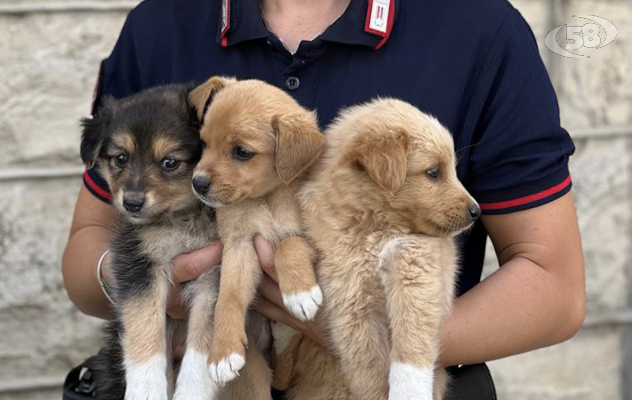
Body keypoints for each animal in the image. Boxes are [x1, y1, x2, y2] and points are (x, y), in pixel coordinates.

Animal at [80, 85, 270, 400]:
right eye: (120, 158)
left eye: (169, 162)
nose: (131, 203)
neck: (182, 217)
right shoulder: (138, 262)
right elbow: (144, 325)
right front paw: (145, 389)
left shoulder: (215, 273)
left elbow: (204, 338)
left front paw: (192, 391)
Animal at [188, 76, 326, 386]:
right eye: (204, 143)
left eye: (242, 152)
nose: (198, 184)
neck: (265, 198)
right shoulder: (239, 246)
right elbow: (228, 298)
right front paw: (224, 351)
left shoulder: (317, 238)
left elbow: (288, 245)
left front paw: (299, 293)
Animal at [276, 97, 478, 400]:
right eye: (433, 172)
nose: (476, 211)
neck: (377, 230)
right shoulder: (350, 299)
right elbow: (368, 368)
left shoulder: (418, 269)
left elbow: (411, 340)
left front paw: (409, 391)